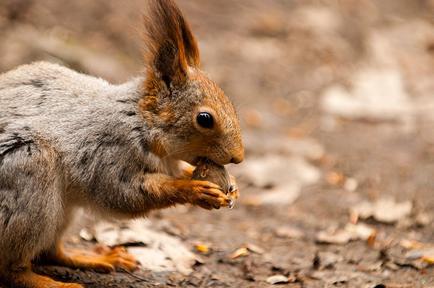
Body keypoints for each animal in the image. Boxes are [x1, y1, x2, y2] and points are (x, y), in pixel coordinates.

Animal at [0, 0, 244, 288]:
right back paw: (51, 282)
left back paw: (93, 258)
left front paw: (232, 187)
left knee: (51, 251)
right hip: (29, 175)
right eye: (204, 119)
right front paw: (194, 190)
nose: (239, 157)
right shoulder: (109, 153)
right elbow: (124, 194)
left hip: (61, 209)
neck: (140, 122)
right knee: (13, 269)